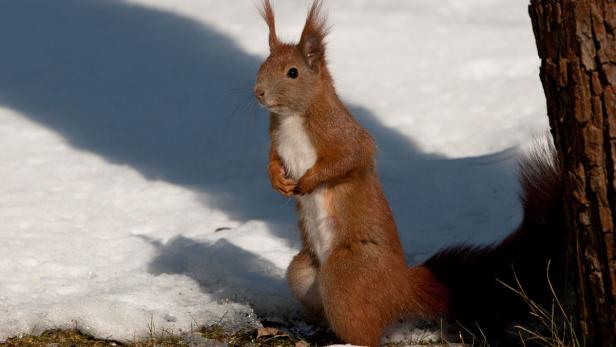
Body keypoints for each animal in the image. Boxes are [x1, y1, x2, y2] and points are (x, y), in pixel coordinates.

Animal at [251, 2, 564, 346]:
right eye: (264, 63)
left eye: (292, 72)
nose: (258, 93)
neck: (292, 117)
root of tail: (399, 289)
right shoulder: (276, 141)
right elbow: (271, 160)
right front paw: (277, 181)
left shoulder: (343, 135)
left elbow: (347, 160)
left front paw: (308, 181)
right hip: (304, 275)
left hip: (345, 274)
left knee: (364, 332)